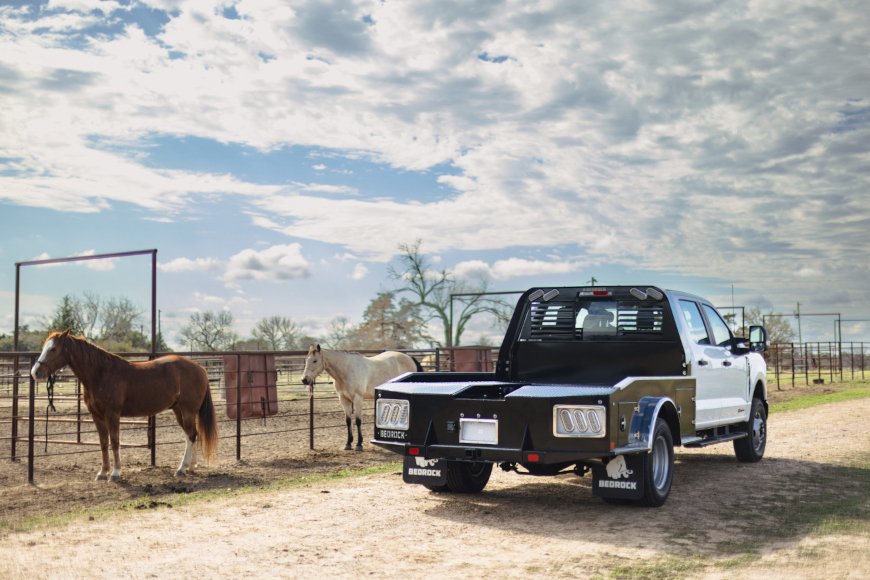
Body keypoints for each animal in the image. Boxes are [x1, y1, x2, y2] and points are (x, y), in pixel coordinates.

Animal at [30, 328, 218, 482]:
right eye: (44, 347)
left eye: (53, 349)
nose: (35, 372)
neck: (100, 374)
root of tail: (201, 368)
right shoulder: (97, 416)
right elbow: (103, 442)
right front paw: (102, 472)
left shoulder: (112, 415)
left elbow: (114, 442)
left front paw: (115, 473)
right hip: (179, 410)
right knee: (192, 434)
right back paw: (190, 467)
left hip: (188, 411)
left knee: (191, 435)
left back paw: (181, 469)